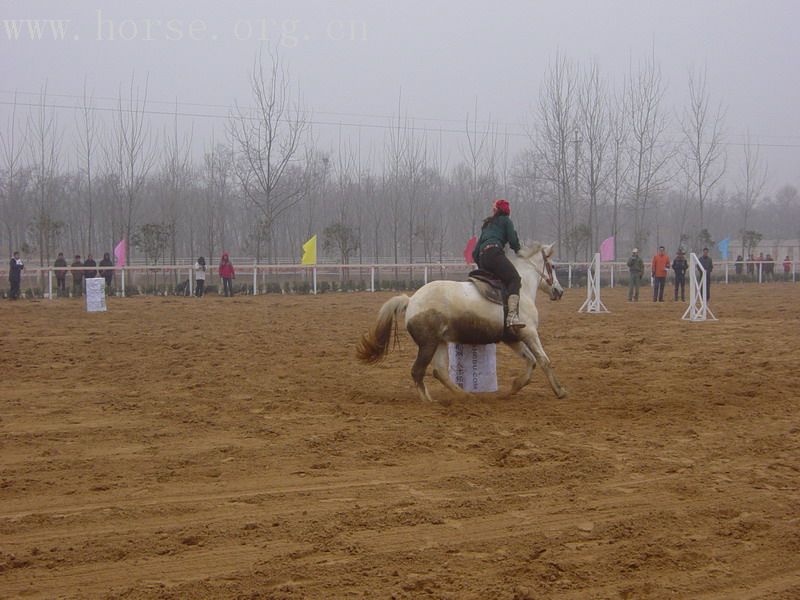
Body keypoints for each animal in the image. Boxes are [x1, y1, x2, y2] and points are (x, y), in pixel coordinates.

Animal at [360, 243, 564, 404]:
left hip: (440, 342)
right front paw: (560, 391)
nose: (559, 291)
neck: (522, 290)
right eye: (553, 266)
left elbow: (531, 360)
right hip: (428, 344)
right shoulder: (529, 332)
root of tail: (411, 300)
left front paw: (514, 387)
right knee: (417, 371)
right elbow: (543, 360)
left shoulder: (512, 338)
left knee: (439, 371)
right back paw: (428, 401)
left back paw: (464, 396)